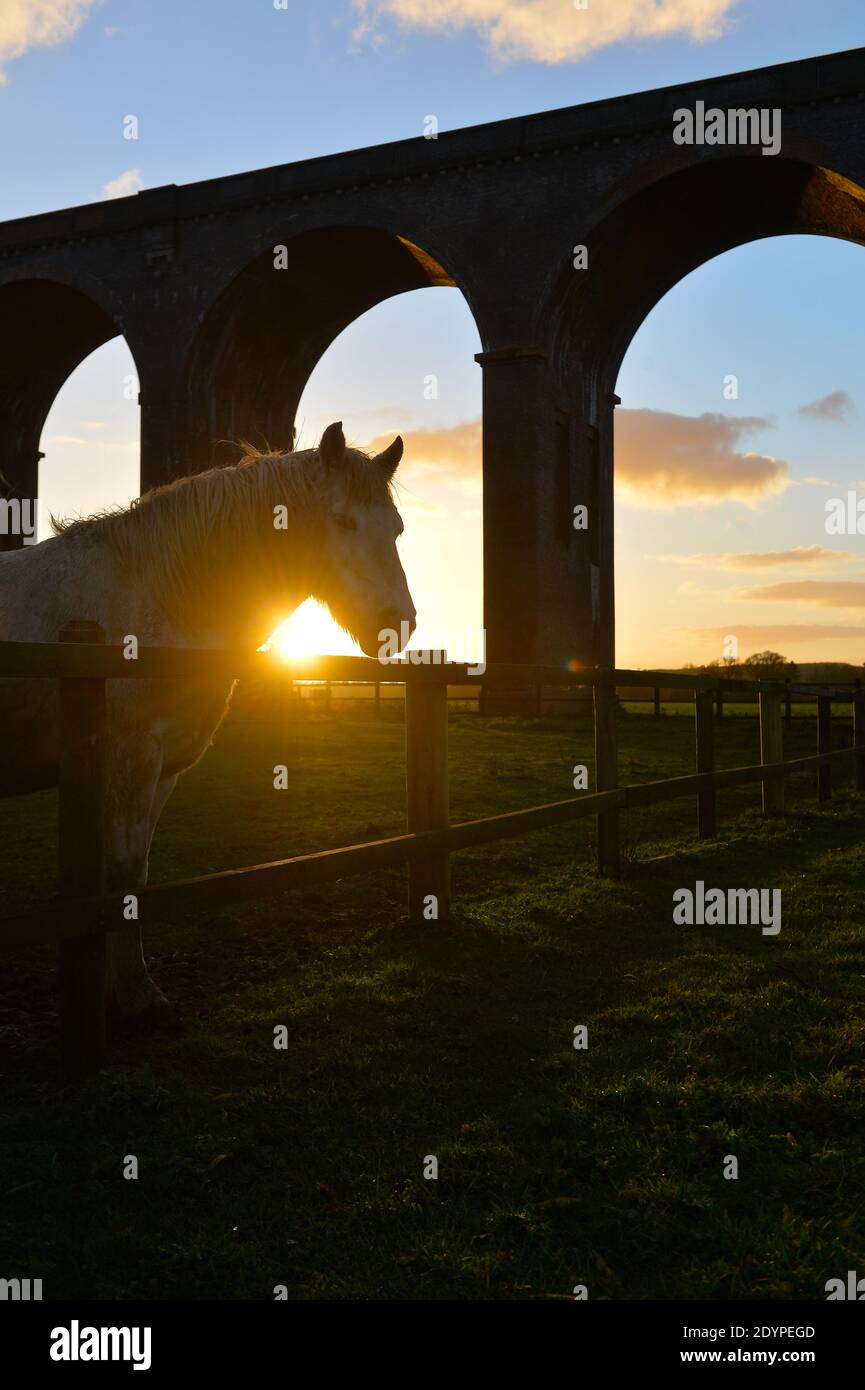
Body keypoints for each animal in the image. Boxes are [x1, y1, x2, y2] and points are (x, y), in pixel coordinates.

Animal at [0, 417, 417, 1017]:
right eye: (342, 520)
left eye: (397, 529)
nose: (398, 623)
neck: (158, 594)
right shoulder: (129, 758)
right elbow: (122, 869)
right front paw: (135, 995)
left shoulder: (163, 770)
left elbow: (134, 876)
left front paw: (126, 986)